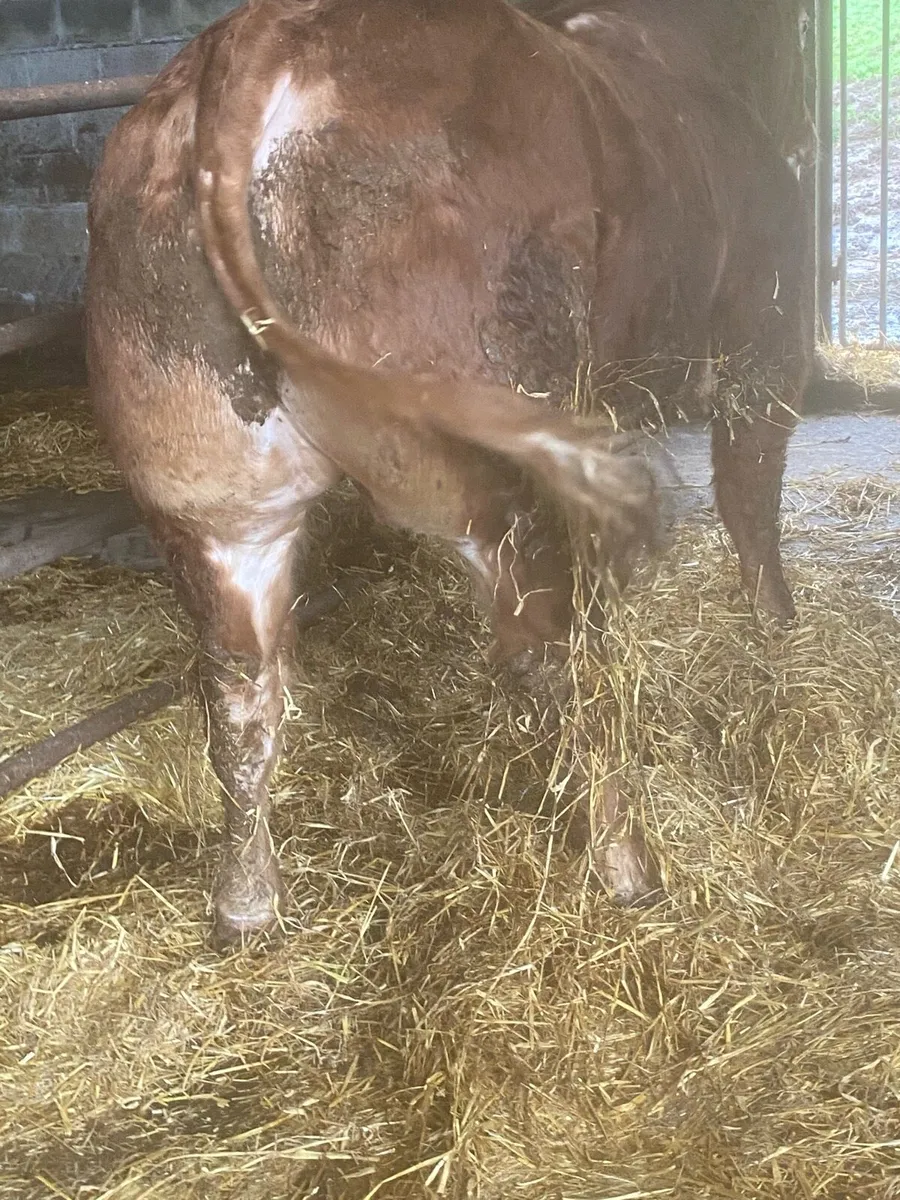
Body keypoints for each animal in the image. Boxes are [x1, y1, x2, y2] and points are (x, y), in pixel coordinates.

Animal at [85, 0, 811, 945]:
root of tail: (256, 37)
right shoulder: (766, 338)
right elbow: (752, 509)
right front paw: (780, 641)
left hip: (210, 494)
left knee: (237, 689)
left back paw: (246, 905)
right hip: (513, 458)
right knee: (556, 659)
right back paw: (628, 865)